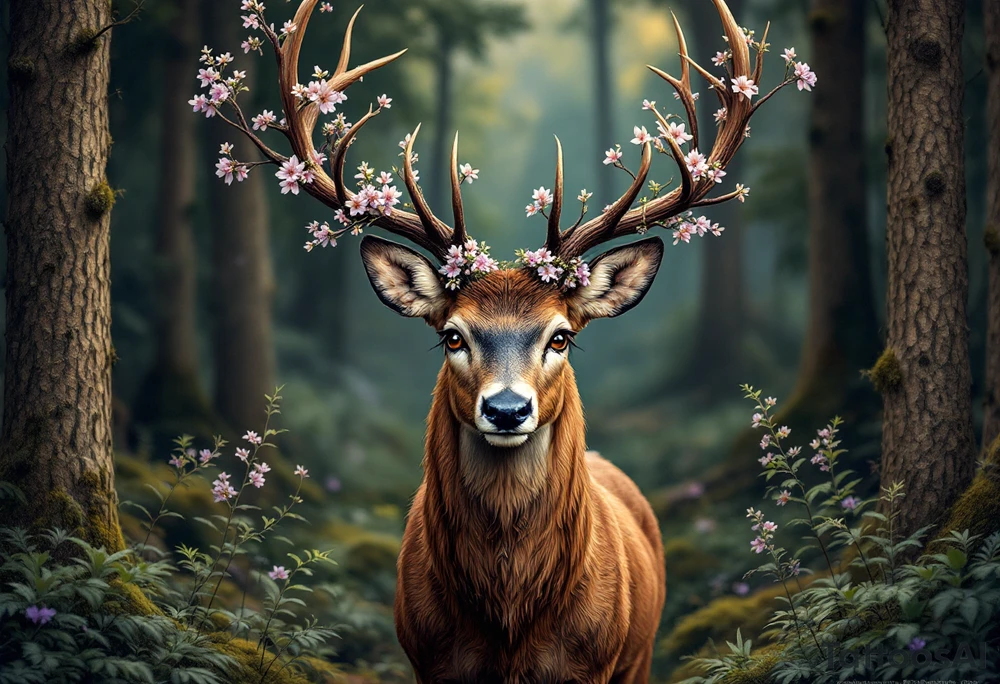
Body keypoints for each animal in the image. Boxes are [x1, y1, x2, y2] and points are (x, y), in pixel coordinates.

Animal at [203, 0, 793, 679]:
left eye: (561, 337)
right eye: (452, 336)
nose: (507, 409)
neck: (509, 623)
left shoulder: (595, 662)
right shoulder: (428, 658)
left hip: (640, 652)